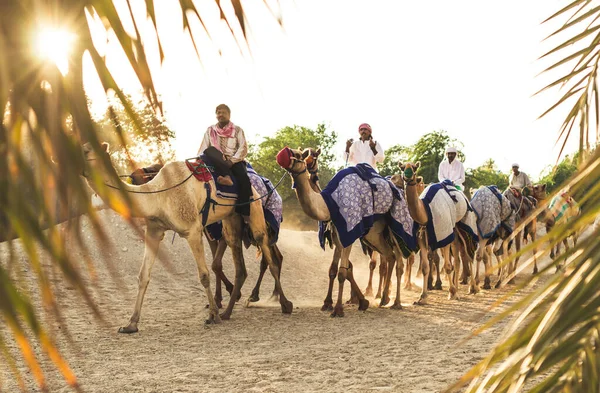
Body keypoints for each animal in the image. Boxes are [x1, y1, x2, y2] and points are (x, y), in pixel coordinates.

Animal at [276, 147, 408, 316]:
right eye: (304, 154)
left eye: (300, 155)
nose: (281, 155)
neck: (328, 205)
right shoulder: (336, 236)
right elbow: (333, 269)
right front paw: (329, 303)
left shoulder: (348, 234)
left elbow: (342, 272)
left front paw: (338, 309)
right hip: (373, 235)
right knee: (390, 257)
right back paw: (384, 298)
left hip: (391, 232)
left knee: (399, 262)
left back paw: (395, 301)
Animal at [398, 161, 478, 302]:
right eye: (402, 168)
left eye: (415, 168)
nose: (407, 176)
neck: (425, 211)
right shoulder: (422, 238)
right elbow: (425, 267)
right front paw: (422, 297)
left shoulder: (443, 235)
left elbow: (447, 266)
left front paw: (451, 292)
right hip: (454, 231)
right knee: (457, 260)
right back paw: (458, 289)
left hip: (464, 225)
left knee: (468, 254)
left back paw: (472, 288)